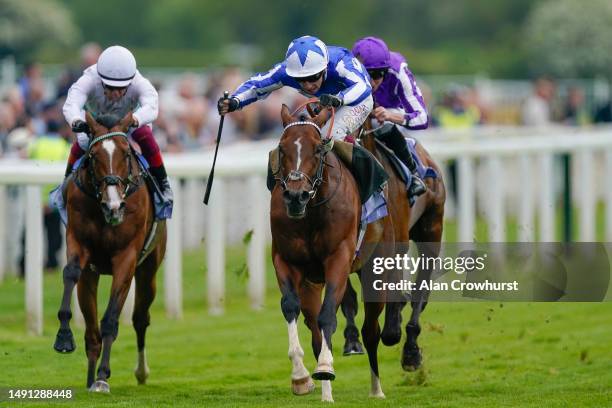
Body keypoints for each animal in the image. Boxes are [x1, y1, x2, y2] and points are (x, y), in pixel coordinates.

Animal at [52, 111, 166, 392]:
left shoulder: (126, 258)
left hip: (148, 270)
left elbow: (112, 319)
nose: (113, 206)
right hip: (91, 276)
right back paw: (90, 377)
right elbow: (70, 273)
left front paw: (104, 376)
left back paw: (140, 372)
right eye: (93, 156)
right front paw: (63, 337)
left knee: (140, 318)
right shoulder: (78, 243)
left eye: (126, 154)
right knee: (91, 332)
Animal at [340, 116, 444, 372]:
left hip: (431, 231)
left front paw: (394, 327)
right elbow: (348, 296)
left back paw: (410, 349)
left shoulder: (394, 244)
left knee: (419, 290)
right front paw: (352, 339)